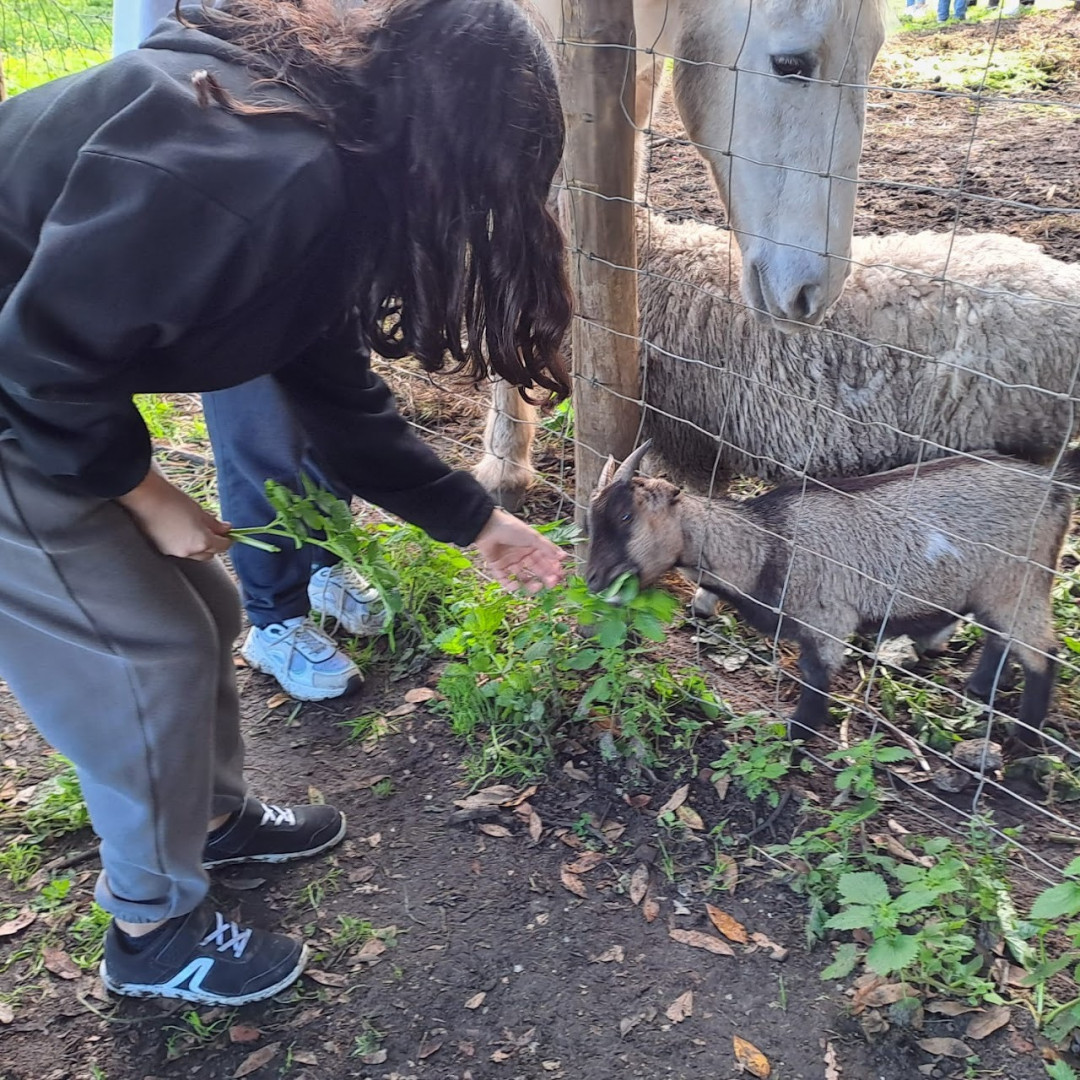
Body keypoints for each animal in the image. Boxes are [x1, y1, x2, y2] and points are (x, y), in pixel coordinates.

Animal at [587, 438, 1075, 743]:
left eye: (626, 517)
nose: (592, 580)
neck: (767, 544)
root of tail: (1058, 491)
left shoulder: (828, 621)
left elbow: (816, 679)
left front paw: (795, 737)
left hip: (1018, 584)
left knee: (1042, 653)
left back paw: (1023, 740)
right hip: (997, 589)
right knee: (999, 636)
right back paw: (979, 689)